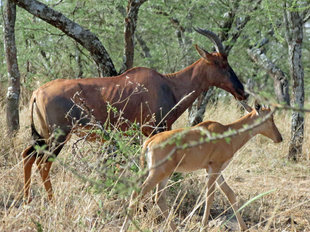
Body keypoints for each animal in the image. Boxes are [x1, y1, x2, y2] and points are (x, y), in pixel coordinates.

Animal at [21, 28, 248, 201]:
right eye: (221, 63)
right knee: (43, 164)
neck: (168, 84)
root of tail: (37, 92)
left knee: (28, 156)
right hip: (59, 135)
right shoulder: (156, 129)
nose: (242, 92)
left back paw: (27, 199)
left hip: (43, 135)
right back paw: (51, 201)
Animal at [121, 102, 284, 231]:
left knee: (159, 198)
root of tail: (150, 141)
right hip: (157, 173)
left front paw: (244, 228)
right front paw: (203, 227)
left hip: (162, 174)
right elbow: (209, 197)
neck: (227, 132)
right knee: (137, 194)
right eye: (269, 118)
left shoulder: (215, 170)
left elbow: (230, 194)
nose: (279, 138)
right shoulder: (214, 168)